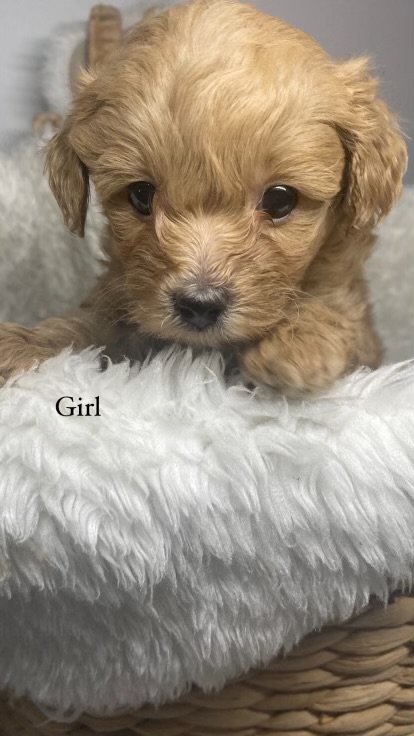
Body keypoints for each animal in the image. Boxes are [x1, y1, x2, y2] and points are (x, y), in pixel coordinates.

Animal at [0, 0, 407, 394]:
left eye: (280, 200)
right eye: (140, 195)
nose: (200, 305)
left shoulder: (356, 322)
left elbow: (334, 312)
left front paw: (298, 339)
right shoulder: (121, 299)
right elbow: (86, 323)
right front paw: (27, 343)